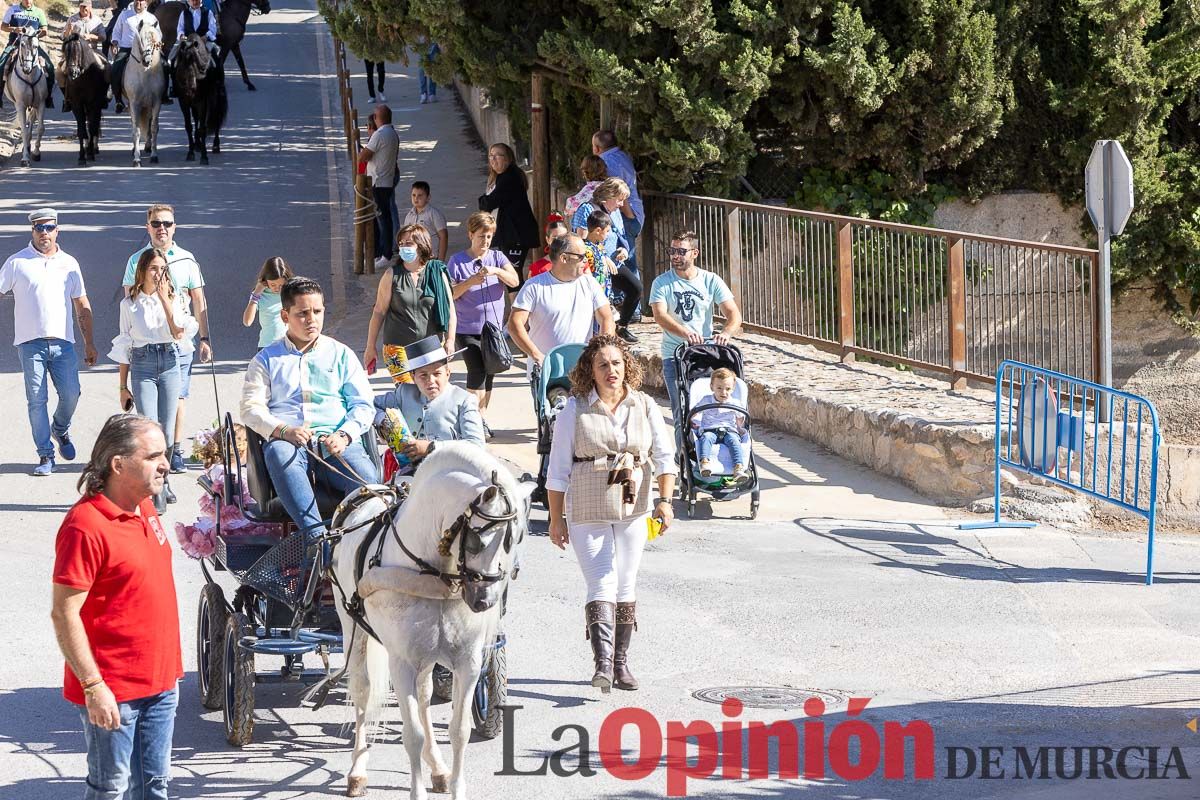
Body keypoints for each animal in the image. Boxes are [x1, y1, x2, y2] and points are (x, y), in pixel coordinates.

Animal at [4, 32, 47, 166]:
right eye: (22, 44)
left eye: (36, 46)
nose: (27, 69)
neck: (29, 77)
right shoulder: (20, 105)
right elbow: (23, 129)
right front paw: (25, 158)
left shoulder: (41, 103)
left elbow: (40, 128)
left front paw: (36, 153)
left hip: (34, 104)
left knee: (32, 120)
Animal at [57, 34, 106, 164]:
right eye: (65, 51)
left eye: (78, 51)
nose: (72, 72)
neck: (83, 78)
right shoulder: (77, 105)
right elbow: (82, 130)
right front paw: (82, 156)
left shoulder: (94, 104)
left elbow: (92, 127)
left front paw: (90, 153)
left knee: (94, 125)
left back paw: (93, 148)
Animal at [121, 22, 164, 165]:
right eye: (141, 41)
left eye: (154, 42)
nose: (147, 61)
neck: (145, 73)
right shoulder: (134, 104)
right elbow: (137, 130)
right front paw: (137, 159)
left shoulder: (156, 102)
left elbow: (154, 128)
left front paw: (154, 156)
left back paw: (148, 147)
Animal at [175, 33, 228, 165]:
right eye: (182, 63)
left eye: (196, 61)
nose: (190, 87)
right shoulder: (184, 101)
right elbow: (189, 126)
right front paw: (190, 153)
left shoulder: (202, 101)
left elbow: (203, 128)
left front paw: (204, 157)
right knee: (196, 119)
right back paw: (197, 145)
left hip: (217, 97)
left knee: (217, 117)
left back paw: (215, 146)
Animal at [331, 443, 532, 800]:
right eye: (477, 539)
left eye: (515, 539)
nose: (485, 601)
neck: (431, 571)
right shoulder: (401, 662)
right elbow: (412, 735)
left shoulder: (468, 661)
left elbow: (458, 730)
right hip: (352, 629)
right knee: (362, 692)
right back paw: (357, 771)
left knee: (424, 697)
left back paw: (437, 768)